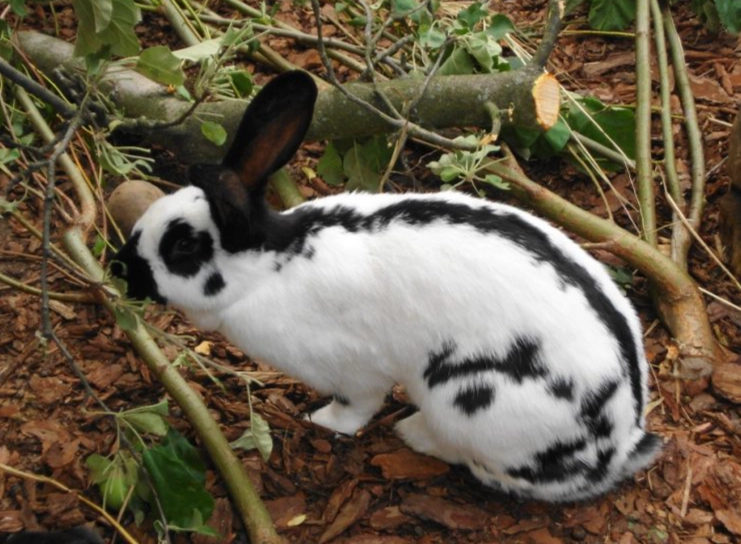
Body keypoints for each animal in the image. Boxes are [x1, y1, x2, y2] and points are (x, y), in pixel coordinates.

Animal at [111, 71, 662, 502]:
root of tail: (620, 445)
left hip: (471, 398)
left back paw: (414, 434)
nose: (120, 269)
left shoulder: (354, 368)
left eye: (183, 247)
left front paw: (323, 422)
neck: (272, 266)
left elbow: (355, 406)